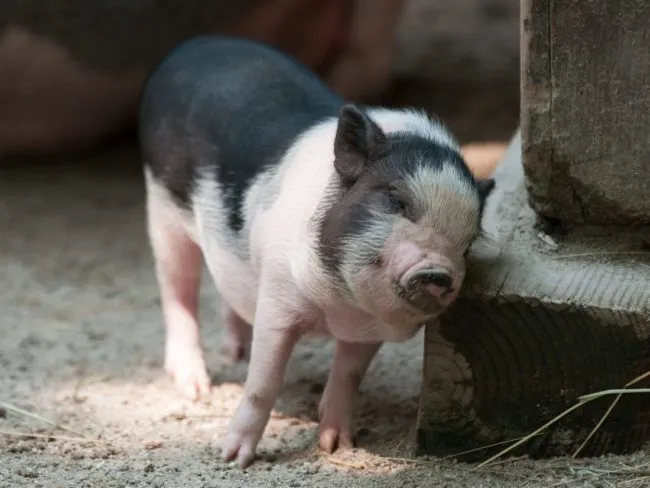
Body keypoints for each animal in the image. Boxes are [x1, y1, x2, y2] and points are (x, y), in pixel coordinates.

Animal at [139, 35, 494, 468]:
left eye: (469, 240)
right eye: (396, 200)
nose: (438, 272)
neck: (337, 308)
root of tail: (191, 46)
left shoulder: (366, 330)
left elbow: (348, 376)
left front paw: (337, 446)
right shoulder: (277, 297)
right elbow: (264, 381)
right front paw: (233, 459)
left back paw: (236, 352)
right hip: (161, 206)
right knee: (178, 287)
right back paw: (196, 387)